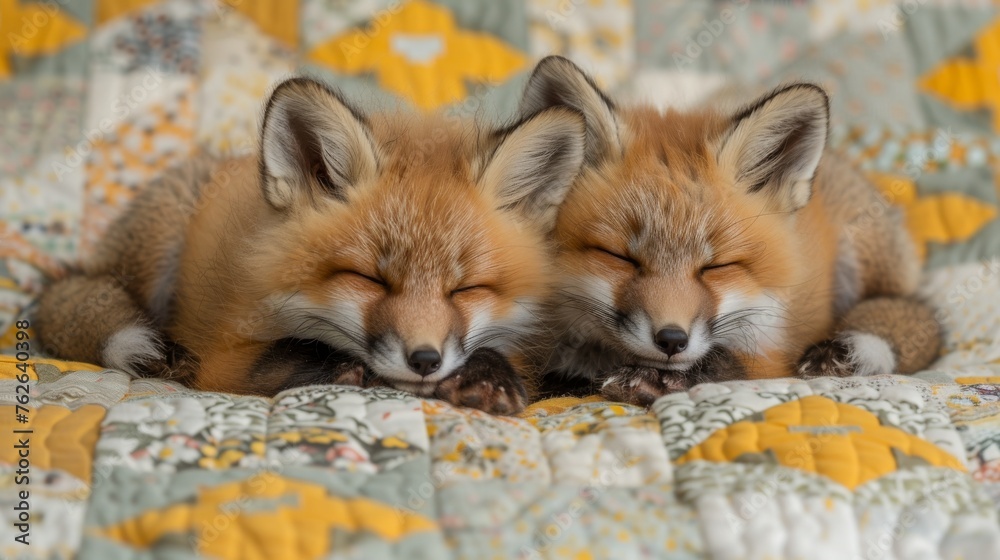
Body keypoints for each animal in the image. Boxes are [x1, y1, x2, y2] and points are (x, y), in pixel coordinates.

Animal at [33, 76, 588, 414]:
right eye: (369, 279)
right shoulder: (228, 357)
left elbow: (493, 352)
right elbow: (303, 351)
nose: (425, 360)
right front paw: (352, 370)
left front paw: (489, 377)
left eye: (467, 289)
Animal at [519, 56, 942, 406]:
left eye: (718, 267)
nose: (671, 340)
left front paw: (661, 380)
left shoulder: (771, 354)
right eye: (619, 257)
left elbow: (726, 364)